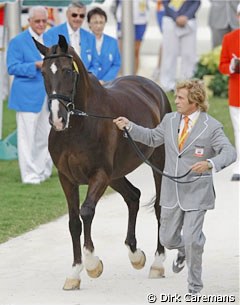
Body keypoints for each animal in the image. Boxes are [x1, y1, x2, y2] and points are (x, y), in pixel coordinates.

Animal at [34, 34, 172, 288]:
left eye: (67, 71)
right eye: (44, 73)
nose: (58, 119)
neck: (79, 125)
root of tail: (152, 87)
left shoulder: (98, 175)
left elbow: (86, 212)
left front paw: (92, 264)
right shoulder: (67, 178)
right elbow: (73, 222)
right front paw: (74, 273)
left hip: (157, 161)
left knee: (159, 206)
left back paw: (157, 263)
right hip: (115, 175)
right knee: (133, 196)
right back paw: (135, 255)